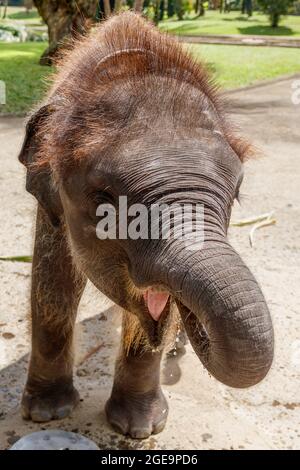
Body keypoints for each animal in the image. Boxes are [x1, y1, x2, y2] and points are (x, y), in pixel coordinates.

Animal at [17, 11, 274, 436]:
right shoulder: (49, 199)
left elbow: (162, 305)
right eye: (103, 198)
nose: (198, 330)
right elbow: (54, 281)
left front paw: (140, 429)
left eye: (237, 192)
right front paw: (46, 413)